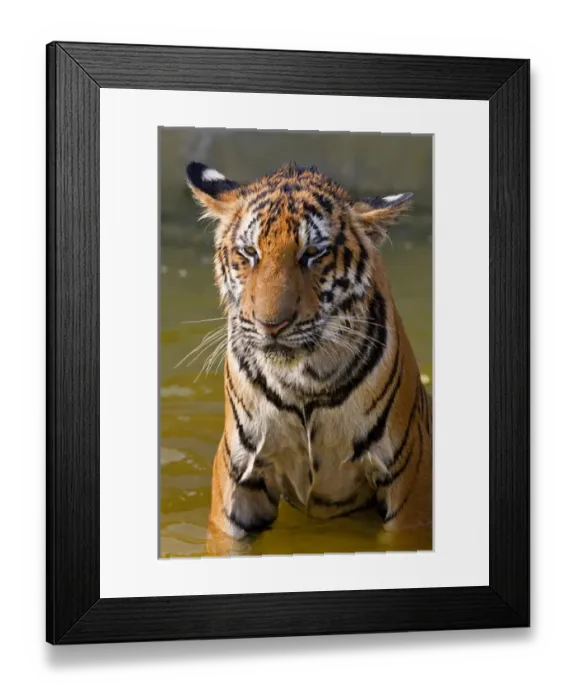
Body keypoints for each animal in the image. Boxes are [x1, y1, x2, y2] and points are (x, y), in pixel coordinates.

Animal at [185, 160, 432, 553]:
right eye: (250, 252)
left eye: (313, 253)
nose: (271, 324)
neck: (303, 383)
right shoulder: (238, 473)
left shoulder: (408, 480)